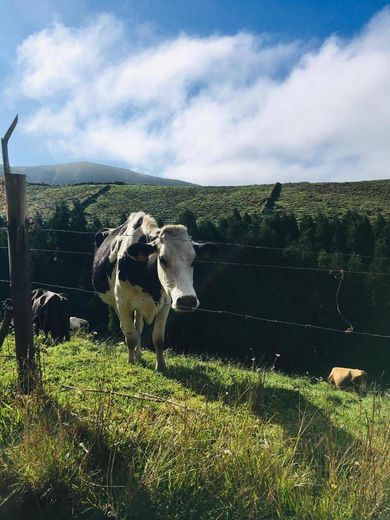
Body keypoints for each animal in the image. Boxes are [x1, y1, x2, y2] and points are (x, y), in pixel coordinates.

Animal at [92, 209, 218, 372]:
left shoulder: (165, 304)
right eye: (163, 259)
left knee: (138, 326)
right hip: (114, 303)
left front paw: (161, 365)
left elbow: (158, 338)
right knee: (127, 328)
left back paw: (139, 353)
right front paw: (131, 361)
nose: (187, 300)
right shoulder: (123, 303)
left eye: (193, 260)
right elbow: (130, 336)